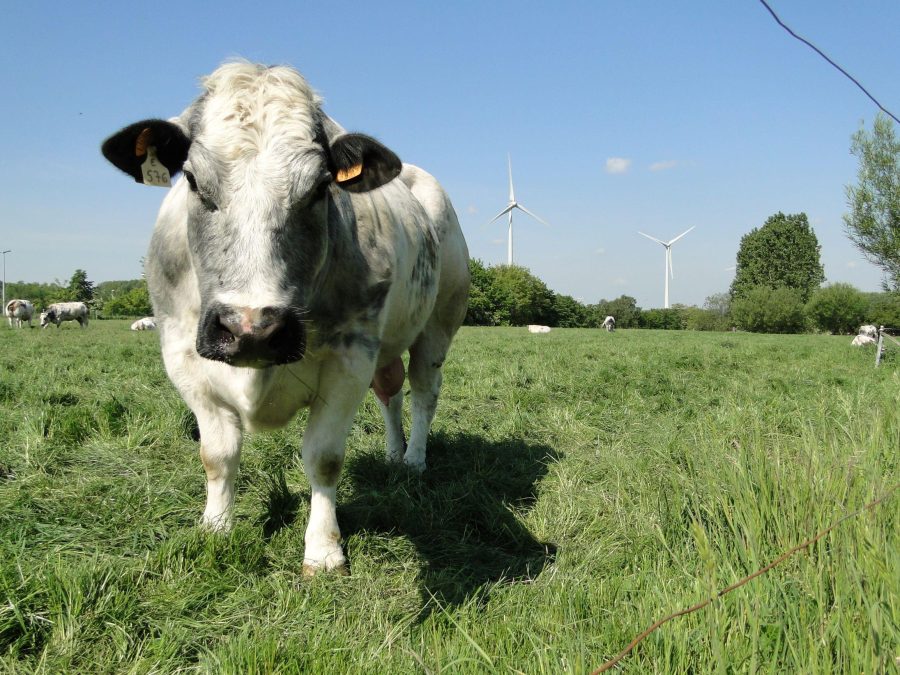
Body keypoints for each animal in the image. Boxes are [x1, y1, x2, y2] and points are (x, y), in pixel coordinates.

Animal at [101, 62, 470, 575]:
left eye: (319, 187)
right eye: (192, 180)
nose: (251, 330)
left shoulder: (350, 357)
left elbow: (324, 458)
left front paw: (324, 549)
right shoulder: (182, 357)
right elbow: (216, 454)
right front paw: (216, 527)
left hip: (438, 325)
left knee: (423, 394)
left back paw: (414, 459)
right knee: (390, 394)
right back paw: (394, 453)